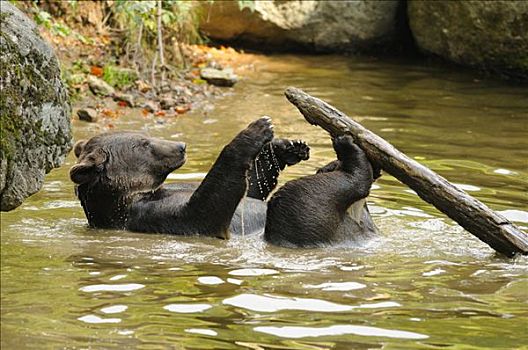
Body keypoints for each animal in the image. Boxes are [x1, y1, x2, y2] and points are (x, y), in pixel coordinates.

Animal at [70, 117, 310, 238]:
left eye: (146, 136)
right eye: (144, 144)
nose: (181, 147)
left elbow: (251, 189)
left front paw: (289, 147)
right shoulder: (151, 215)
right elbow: (208, 209)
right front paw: (257, 129)